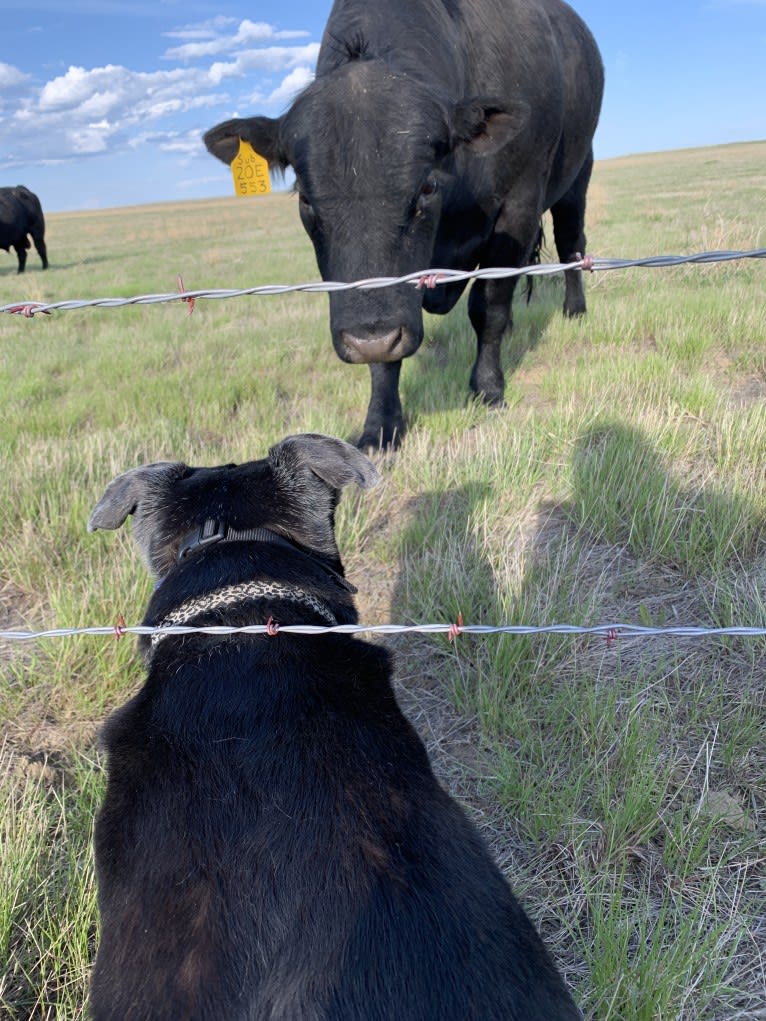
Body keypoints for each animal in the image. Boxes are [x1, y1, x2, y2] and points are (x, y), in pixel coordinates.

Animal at [205, 0, 604, 447]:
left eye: (427, 186)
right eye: (305, 197)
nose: (370, 339)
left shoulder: (518, 204)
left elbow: (489, 305)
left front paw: (487, 387)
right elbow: (386, 360)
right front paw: (381, 421)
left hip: (577, 174)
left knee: (571, 243)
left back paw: (574, 309)